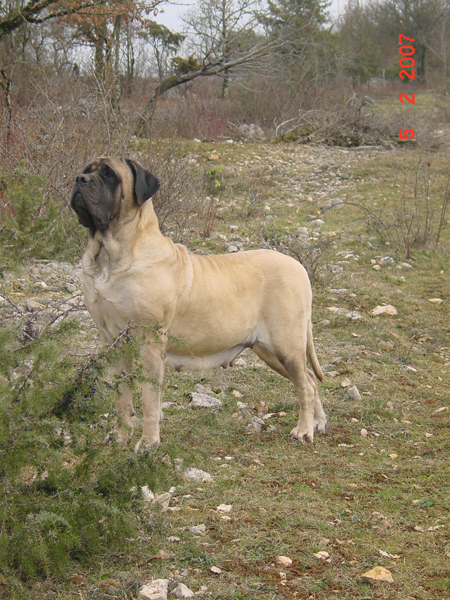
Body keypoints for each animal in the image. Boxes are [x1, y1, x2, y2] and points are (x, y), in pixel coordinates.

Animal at [71, 157, 327, 450]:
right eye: (86, 170)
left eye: (108, 174)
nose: (79, 179)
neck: (110, 257)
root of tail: (299, 267)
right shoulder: (113, 341)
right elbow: (122, 396)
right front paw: (119, 437)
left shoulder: (149, 342)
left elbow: (149, 399)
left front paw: (148, 444)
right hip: (270, 351)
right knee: (310, 381)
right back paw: (318, 424)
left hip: (286, 346)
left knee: (305, 385)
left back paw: (304, 429)